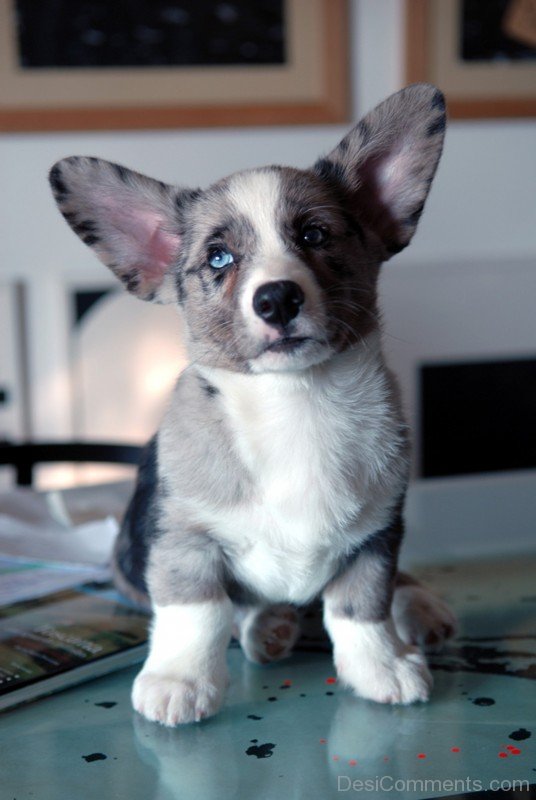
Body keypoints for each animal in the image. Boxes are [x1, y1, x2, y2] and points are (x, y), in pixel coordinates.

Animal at [49, 84, 456, 728]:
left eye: (314, 235)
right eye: (218, 258)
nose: (277, 299)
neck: (296, 404)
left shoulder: (377, 536)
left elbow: (361, 605)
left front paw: (382, 667)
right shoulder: (184, 541)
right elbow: (198, 610)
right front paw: (179, 679)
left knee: (394, 586)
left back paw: (418, 608)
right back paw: (269, 625)